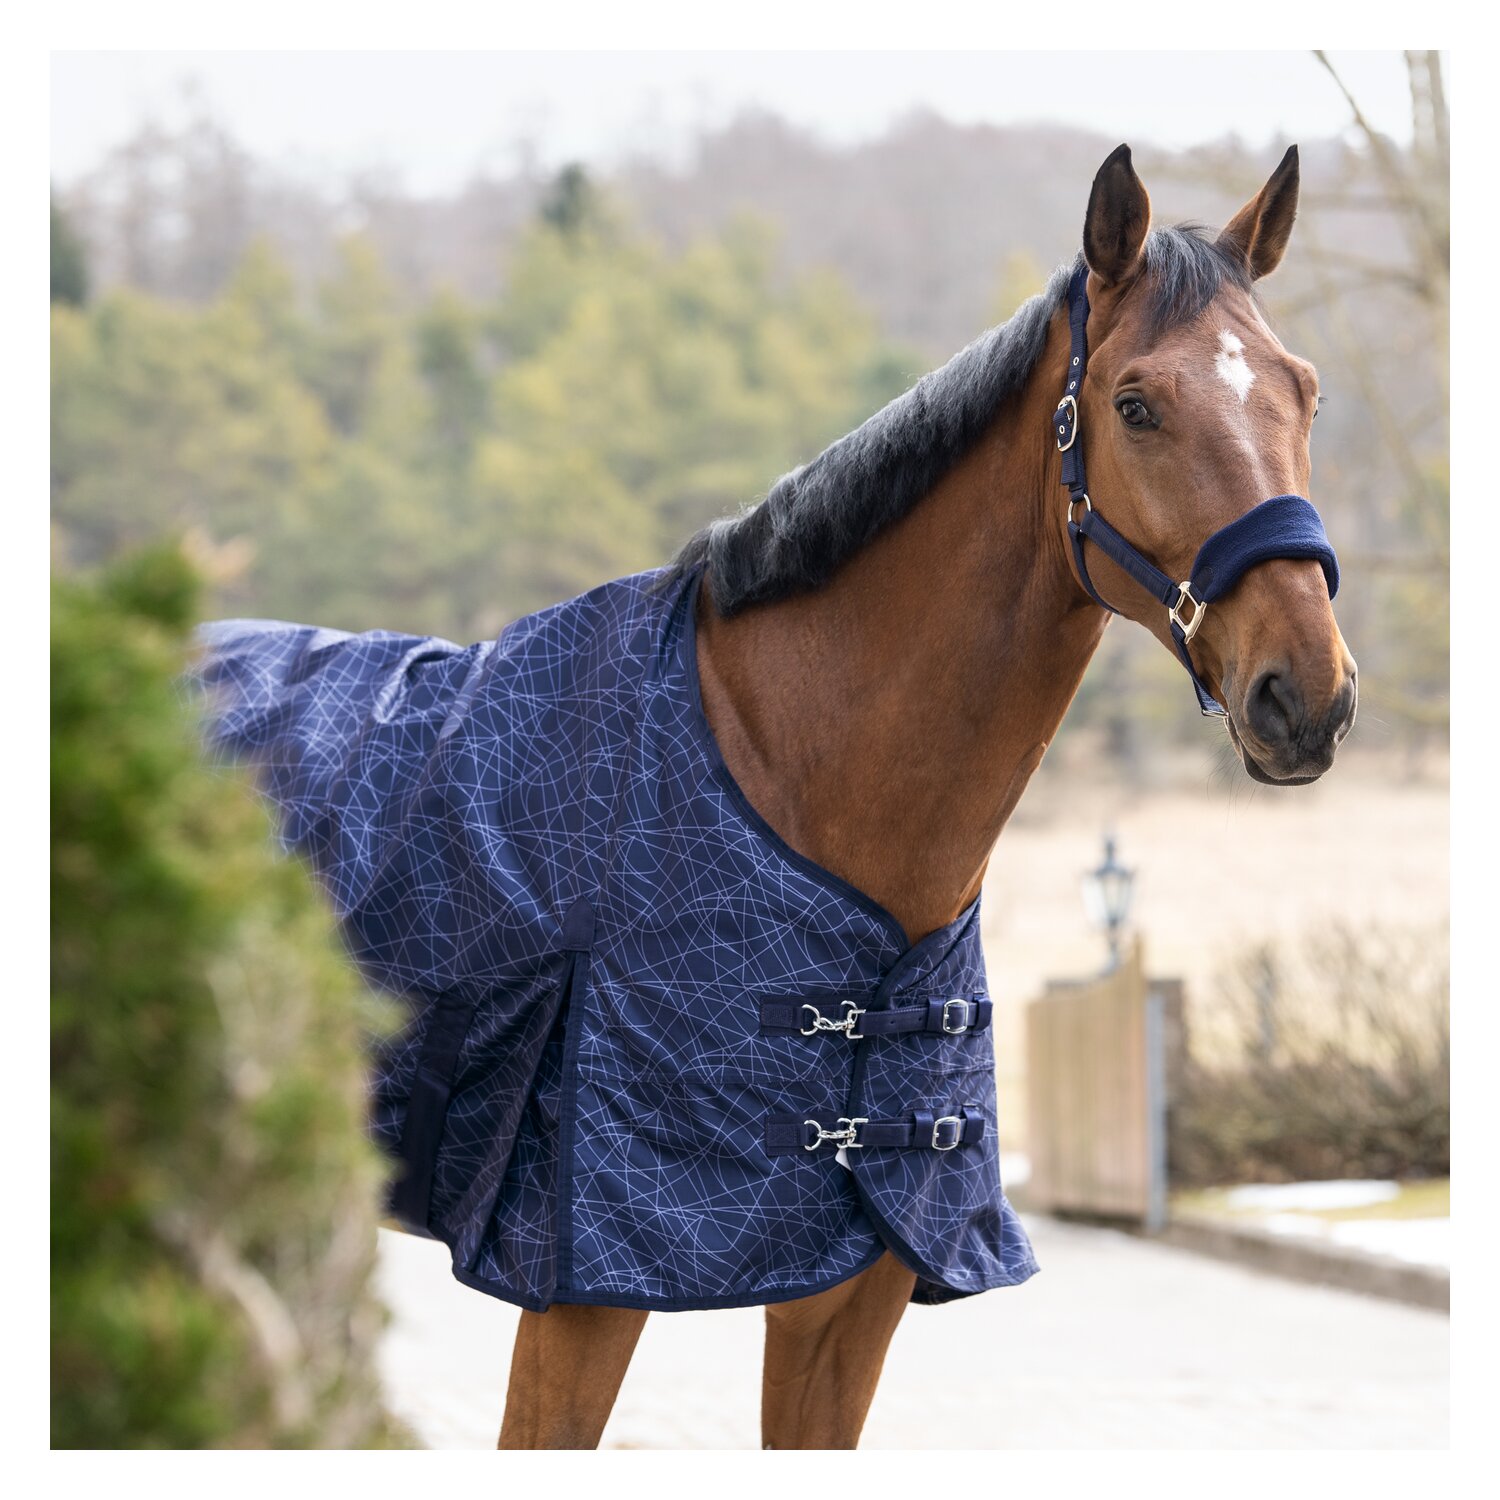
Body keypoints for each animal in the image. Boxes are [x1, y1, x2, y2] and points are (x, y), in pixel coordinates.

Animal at [197, 143, 1355, 1449]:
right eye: (1136, 404)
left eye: (1305, 392)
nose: (1305, 695)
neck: (785, 773)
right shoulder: (583, 1295)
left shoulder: (849, 1306)